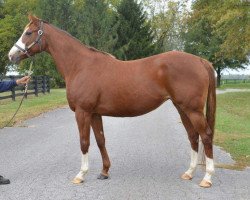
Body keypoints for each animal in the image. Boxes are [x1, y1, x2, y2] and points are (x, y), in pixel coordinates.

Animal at [7, 15, 215, 188]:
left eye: (28, 32)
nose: (11, 55)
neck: (80, 65)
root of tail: (200, 61)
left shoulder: (82, 112)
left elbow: (84, 142)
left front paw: (81, 175)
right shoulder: (95, 113)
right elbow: (100, 140)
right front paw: (104, 172)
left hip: (192, 110)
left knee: (205, 135)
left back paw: (207, 178)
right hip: (182, 108)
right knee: (193, 136)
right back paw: (189, 173)